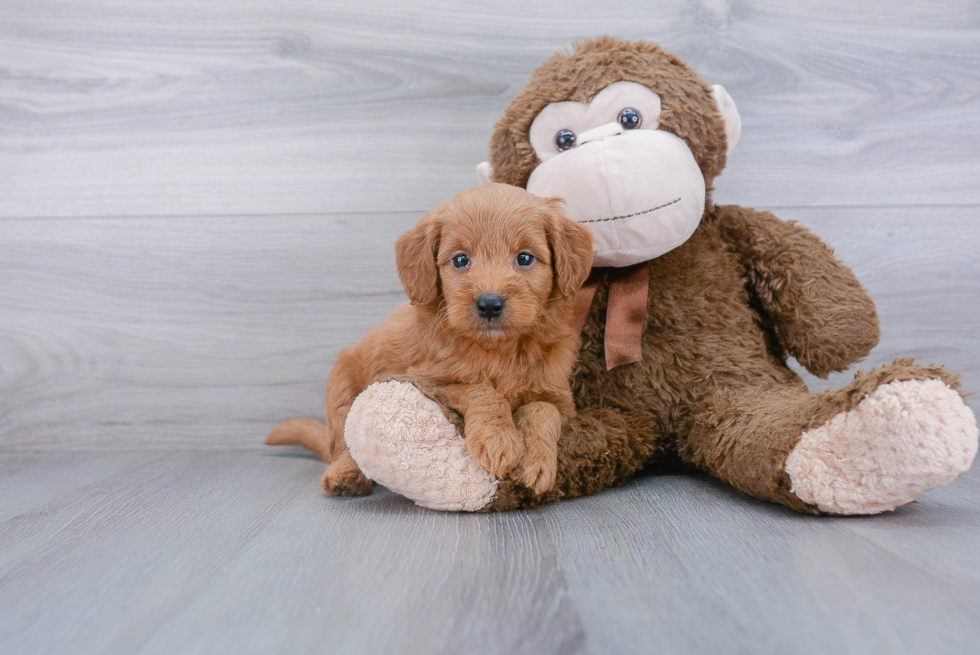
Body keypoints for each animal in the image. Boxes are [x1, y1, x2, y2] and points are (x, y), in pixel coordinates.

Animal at [264, 183, 592, 498]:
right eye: (460, 260)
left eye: (524, 258)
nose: (489, 304)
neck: (499, 350)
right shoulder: (429, 380)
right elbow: (481, 391)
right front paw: (497, 439)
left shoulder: (560, 399)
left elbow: (543, 411)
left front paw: (537, 463)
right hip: (342, 391)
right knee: (346, 445)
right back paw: (344, 475)